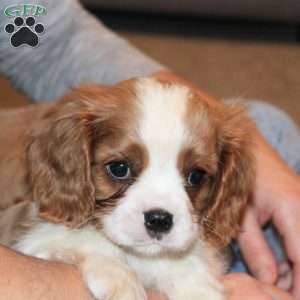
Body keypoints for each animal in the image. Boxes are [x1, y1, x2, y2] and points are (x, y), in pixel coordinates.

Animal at [0, 78, 253, 300]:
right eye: (119, 168)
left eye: (196, 176)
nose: (159, 220)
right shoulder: (33, 239)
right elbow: (83, 237)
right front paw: (120, 279)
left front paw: (195, 284)